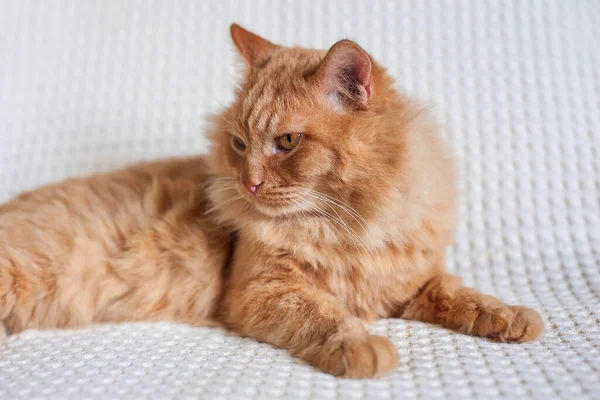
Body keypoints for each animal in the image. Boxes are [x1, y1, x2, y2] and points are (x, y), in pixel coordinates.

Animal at [0, 24, 544, 378]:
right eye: (239, 144)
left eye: (287, 142)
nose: (250, 184)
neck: (347, 230)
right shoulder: (264, 289)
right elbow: (325, 316)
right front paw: (362, 347)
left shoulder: (414, 281)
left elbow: (464, 295)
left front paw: (513, 317)